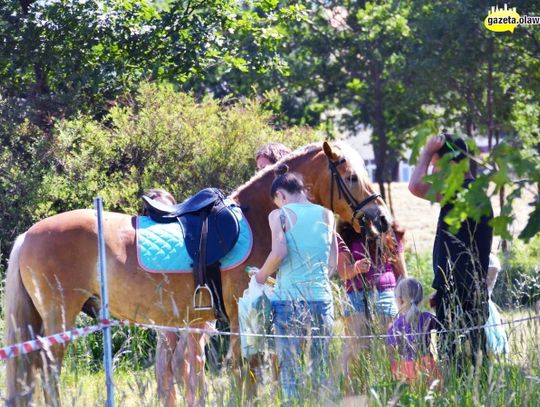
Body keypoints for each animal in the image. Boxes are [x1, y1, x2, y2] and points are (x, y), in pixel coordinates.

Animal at [5, 142, 392, 406]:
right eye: (351, 176)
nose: (382, 218)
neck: (255, 220)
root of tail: (28, 235)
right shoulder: (238, 315)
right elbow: (245, 366)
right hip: (59, 317)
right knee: (48, 370)